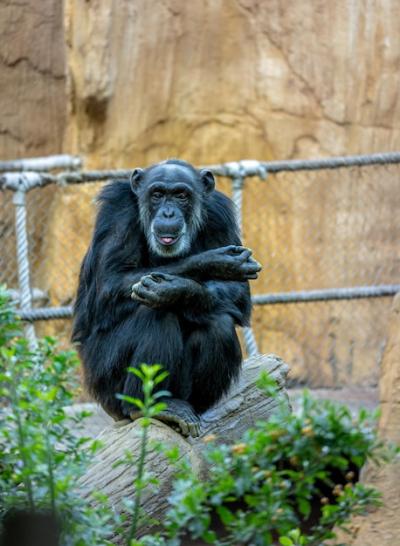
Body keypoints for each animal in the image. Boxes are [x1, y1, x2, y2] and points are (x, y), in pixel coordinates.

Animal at [73, 157, 260, 434]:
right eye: (158, 194)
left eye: (181, 195)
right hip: (103, 382)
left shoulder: (220, 214)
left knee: (219, 324)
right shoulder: (118, 211)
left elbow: (238, 293)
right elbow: (110, 281)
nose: (168, 213)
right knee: (156, 314)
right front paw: (213, 261)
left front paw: (179, 290)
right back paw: (148, 406)